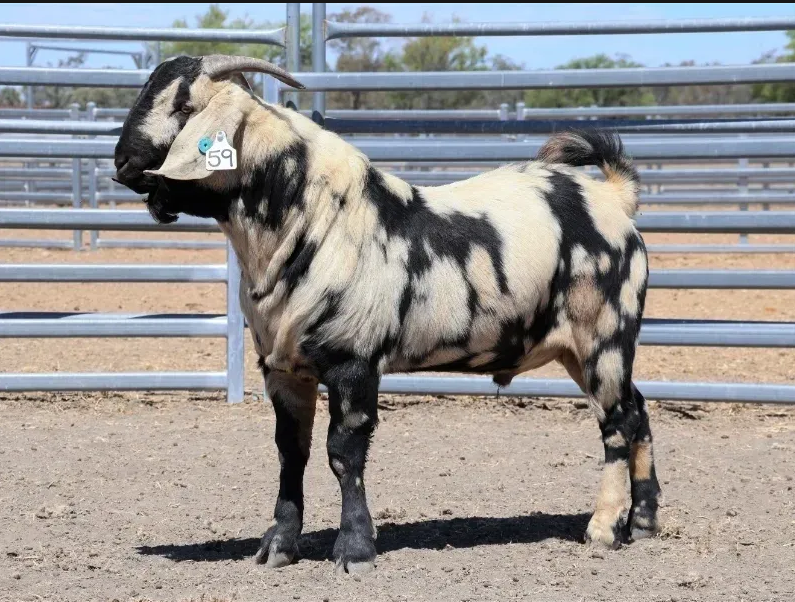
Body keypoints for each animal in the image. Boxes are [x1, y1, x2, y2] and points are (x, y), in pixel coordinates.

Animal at [114, 55, 662, 575]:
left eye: (184, 106)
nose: (121, 163)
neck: (316, 220)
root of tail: (613, 197)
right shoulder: (282, 368)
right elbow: (291, 454)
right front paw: (279, 546)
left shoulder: (353, 361)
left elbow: (343, 454)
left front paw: (355, 549)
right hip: (580, 349)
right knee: (637, 410)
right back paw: (644, 521)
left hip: (603, 336)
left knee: (616, 422)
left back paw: (604, 528)